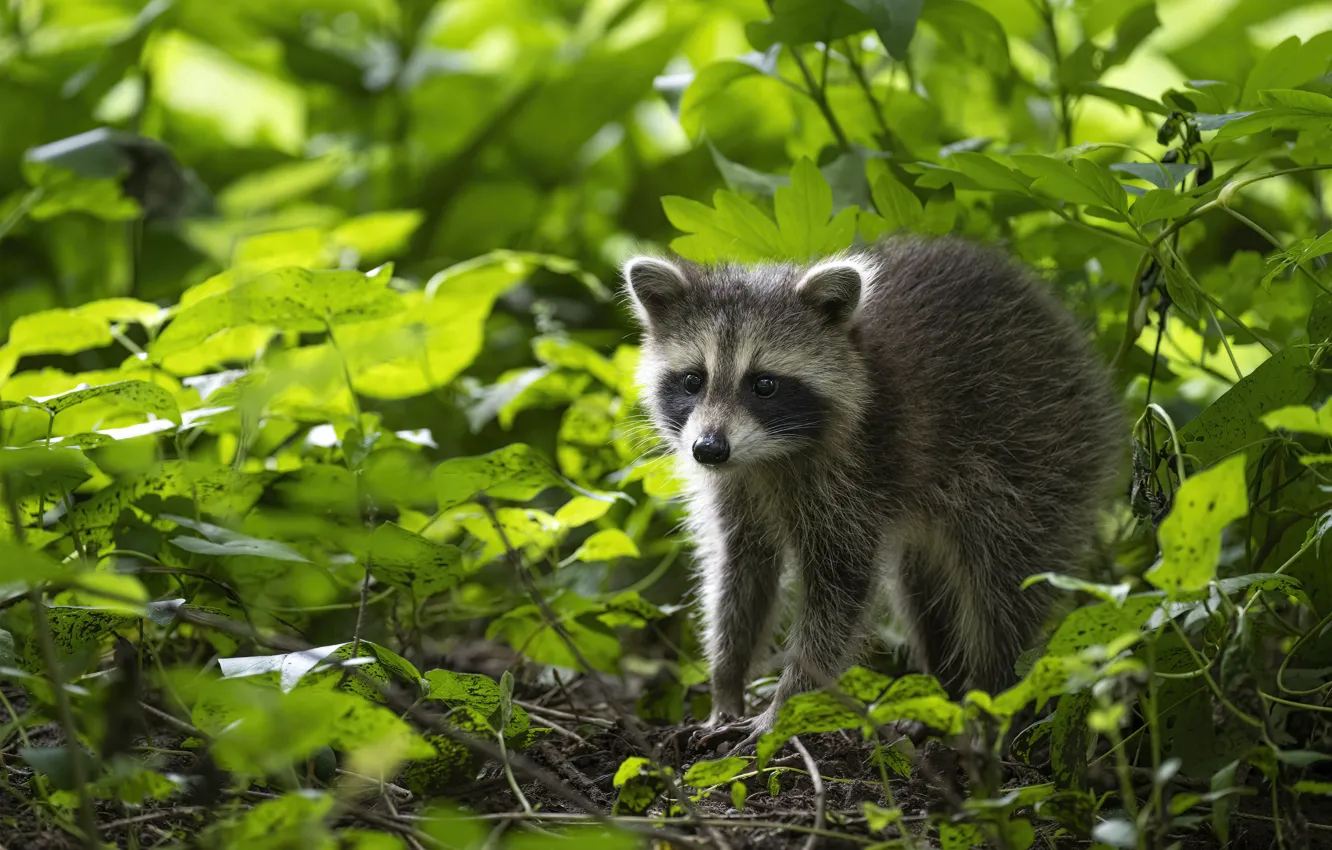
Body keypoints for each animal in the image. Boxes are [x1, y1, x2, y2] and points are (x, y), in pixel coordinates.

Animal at [622, 235, 1125, 740]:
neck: (769, 455)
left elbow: (839, 590)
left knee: (1002, 586)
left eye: (763, 384)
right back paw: (943, 685)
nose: (708, 449)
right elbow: (740, 572)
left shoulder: (858, 471)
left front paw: (785, 705)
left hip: (1037, 453)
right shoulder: (737, 488)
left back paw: (989, 694)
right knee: (923, 591)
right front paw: (726, 683)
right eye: (693, 379)